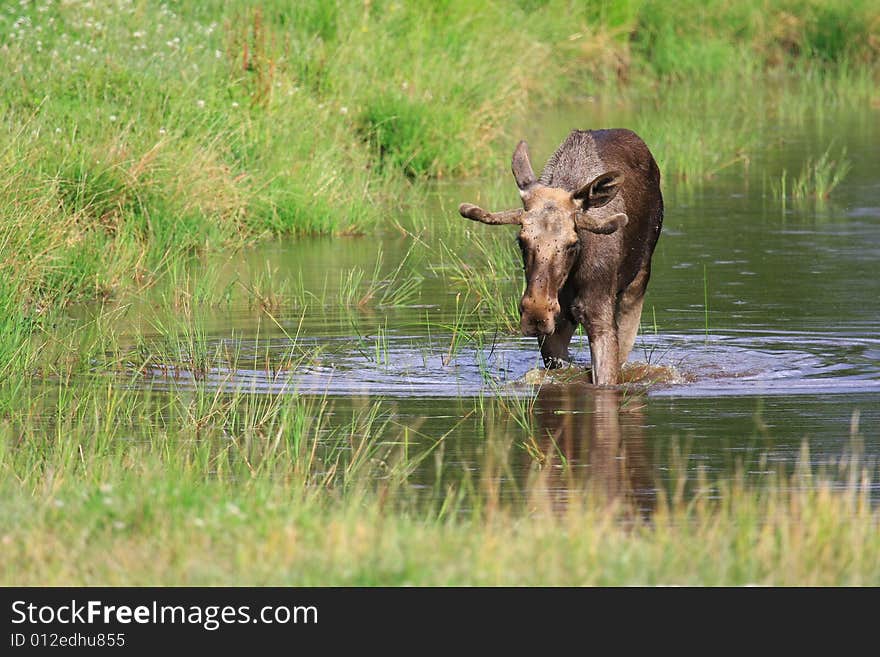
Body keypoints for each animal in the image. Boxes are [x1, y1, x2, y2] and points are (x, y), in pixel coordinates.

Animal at [460, 129, 660, 384]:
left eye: (572, 244)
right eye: (521, 240)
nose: (537, 313)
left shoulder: (599, 315)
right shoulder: (555, 327)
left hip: (638, 281)